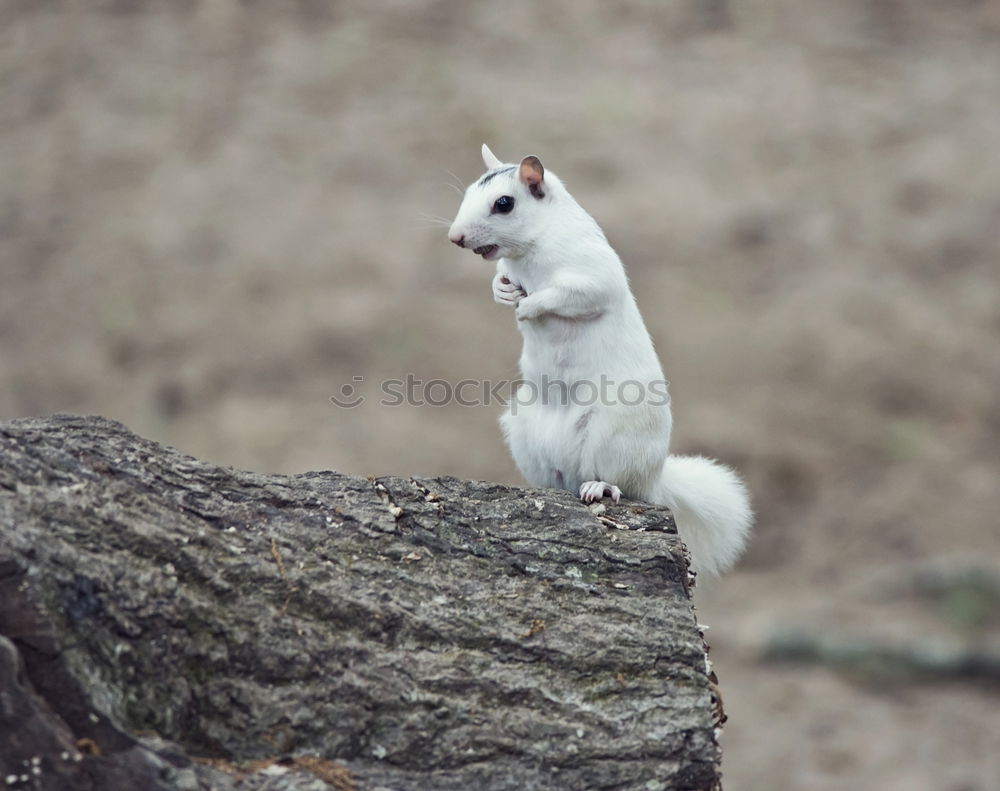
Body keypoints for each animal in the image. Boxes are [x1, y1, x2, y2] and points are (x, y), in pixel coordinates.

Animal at [448, 144, 752, 576]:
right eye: (469, 191)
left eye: (503, 203)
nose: (455, 237)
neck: (529, 252)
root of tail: (655, 477)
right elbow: (500, 282)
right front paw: (504, 294)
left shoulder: (591, 273)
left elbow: (569, 294)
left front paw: (529, 308)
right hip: (523, 432)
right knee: (560, 482)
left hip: (614, 434)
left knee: (620, 483)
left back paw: (600, 486)